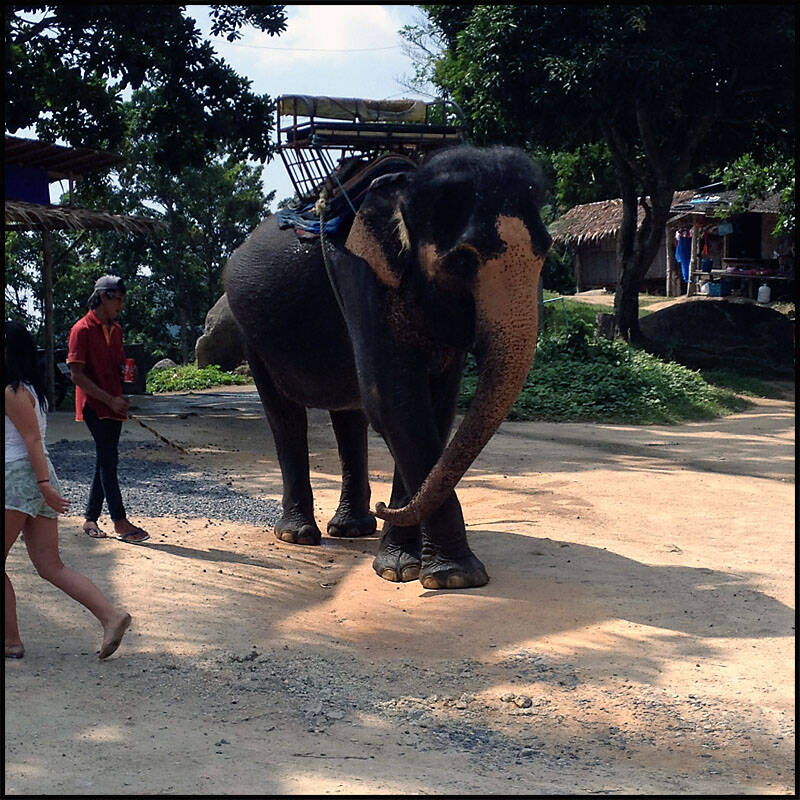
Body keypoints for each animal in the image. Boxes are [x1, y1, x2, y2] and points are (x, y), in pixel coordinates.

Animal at [223, 145, 552, 590]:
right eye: (463, 261)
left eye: (545, 253)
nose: (383, 507)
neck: (408, 188)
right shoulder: (359, 274)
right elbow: (394, 402)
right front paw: (452, 577)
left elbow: (435, 408)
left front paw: (409, 568)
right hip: (250, 332)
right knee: (285, 415)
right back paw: (299, 535)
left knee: (348, 415)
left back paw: (351, 529)